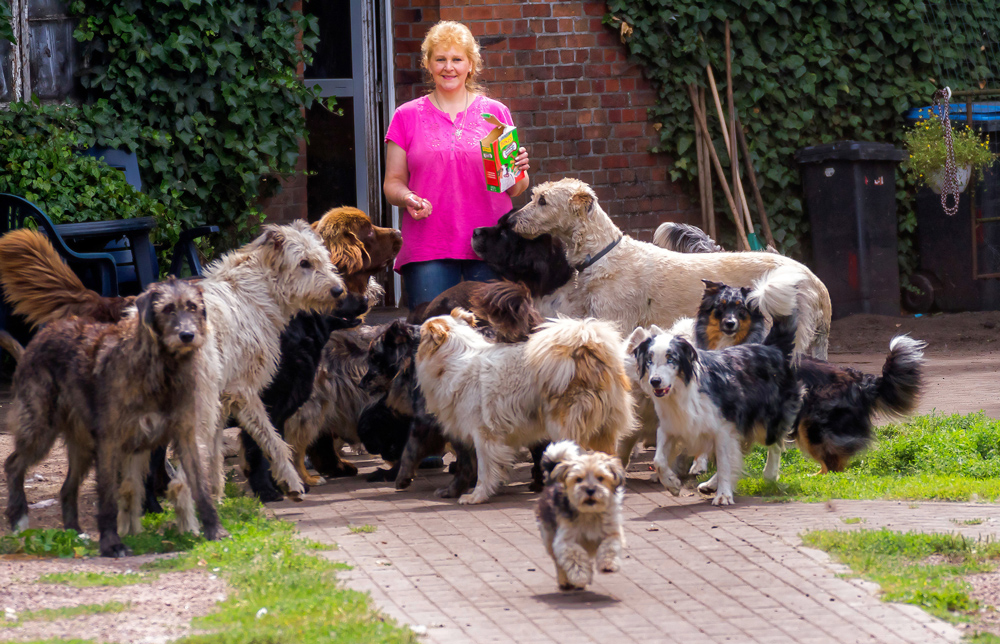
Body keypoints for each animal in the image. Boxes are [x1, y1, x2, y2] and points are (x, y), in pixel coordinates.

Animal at [5, 280, 217, 556]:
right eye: (168, 309)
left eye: (192, 307)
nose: (187, 336)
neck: (160, 369)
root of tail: (43, 333)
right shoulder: (110, 441)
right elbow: (107, 498)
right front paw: (111, 544)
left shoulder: (185, 434)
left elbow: (200, 485)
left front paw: (215, 530)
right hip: (41, 429)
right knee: (13, 464)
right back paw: (18, 523)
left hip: (82, 446)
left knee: (66, 488)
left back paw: (75, 533)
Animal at [416, 310, 636, 506]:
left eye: (422, 333)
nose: (414, 327)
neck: (455, 359)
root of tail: (588, 351)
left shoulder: (483, 434)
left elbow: (484, 470)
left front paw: (477, 496)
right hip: (603, 431)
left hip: (564, 428)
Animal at [512, 179, 832, 360]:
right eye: (536, 195)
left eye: (542, 200)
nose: (511, 220)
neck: (603, 254)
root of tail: (815, 280)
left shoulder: (616, 320)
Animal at [540, 440, 624, 592]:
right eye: (578, 479)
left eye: (600, 478)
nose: (590, 490)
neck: (590, 513)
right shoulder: (565, 542)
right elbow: (576, 558)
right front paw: (580, 576)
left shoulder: (612, 533)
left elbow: (609, 547)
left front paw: (608, 564)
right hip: (549, 537)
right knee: (559, 563)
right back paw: (566, 581)